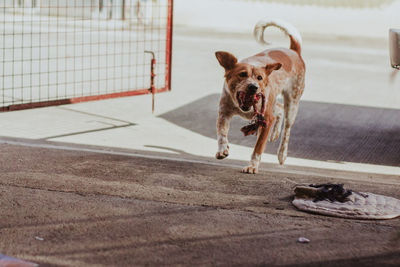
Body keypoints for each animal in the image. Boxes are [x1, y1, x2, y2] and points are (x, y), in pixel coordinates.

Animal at [217, 18, 304, 174]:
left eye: (259, 78)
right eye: (242, 74)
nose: (253, 87)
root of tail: (294, 51)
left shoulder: (266, 120)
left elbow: (258, 148)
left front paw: (252, 166)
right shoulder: (224, 112)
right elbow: (221, 133)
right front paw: (222, 150)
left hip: (292, 103)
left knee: (287, 130)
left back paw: (282, 153)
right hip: (273, 102)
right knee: (279, 109)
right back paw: (275, 133)